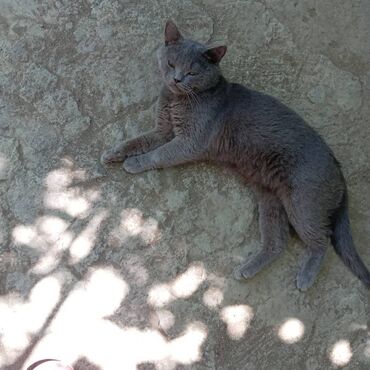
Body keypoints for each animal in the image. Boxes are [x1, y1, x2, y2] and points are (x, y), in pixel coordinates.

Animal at [101, 21, 370, 292]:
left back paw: (305, 278)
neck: (176, 99)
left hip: (302, 202)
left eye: (192, 72)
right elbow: (139, 141)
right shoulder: (162, 130)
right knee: (278, 241)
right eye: (170, 64)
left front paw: (134, 163)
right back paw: (247, 269)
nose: (176, 79)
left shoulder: (190, 142)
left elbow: (158, 154)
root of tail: (337, 167)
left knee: (322, 239)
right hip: (270, 196)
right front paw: (113, 153)